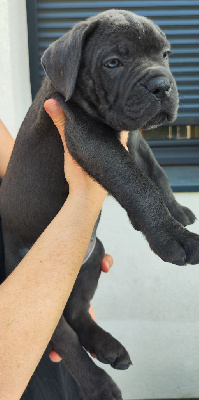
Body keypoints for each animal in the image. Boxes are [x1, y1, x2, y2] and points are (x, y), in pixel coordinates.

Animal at [0, 8, 199, 400]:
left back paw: (109, 347)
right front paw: (173, 238)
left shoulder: (133, 138)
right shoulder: (92, 139)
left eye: (166, 55)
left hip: (92, 259)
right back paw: (99, 384)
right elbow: (134, 182)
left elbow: (155, 173)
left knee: (78, 315)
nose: (161, 85)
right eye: (113, 63)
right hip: (38, 294)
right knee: (65, 340)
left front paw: (176, 212)